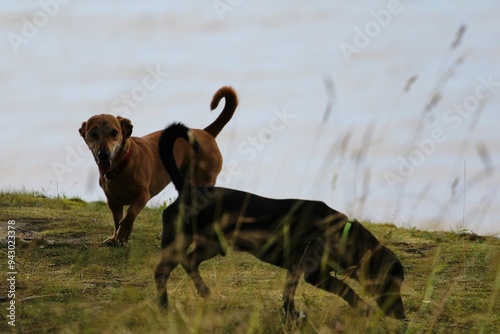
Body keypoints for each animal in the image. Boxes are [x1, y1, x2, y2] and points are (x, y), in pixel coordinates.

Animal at [79, 86, 238, 245]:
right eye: (93, 134)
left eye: (114, 132)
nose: (103, 154)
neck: (122, 165)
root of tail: (206, 132)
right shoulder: (113, 202)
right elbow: (117, 219)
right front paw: (115, 238)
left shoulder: (143, 195)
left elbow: (130, 214)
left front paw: (123, 233)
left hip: (202, 181)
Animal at [156, 122, 406, 318]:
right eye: (392, 283)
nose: (402, 315)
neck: (340, 234)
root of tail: (189, 189)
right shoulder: (314, 274)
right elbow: (345, 288)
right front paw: (364, 309)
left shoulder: (295, 268)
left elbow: (289, 295)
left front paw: (292, 316)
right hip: (178, 240)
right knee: (162, 272)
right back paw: (164, 307)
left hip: (213, 244)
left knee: (189, 262)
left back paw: (204, 293)